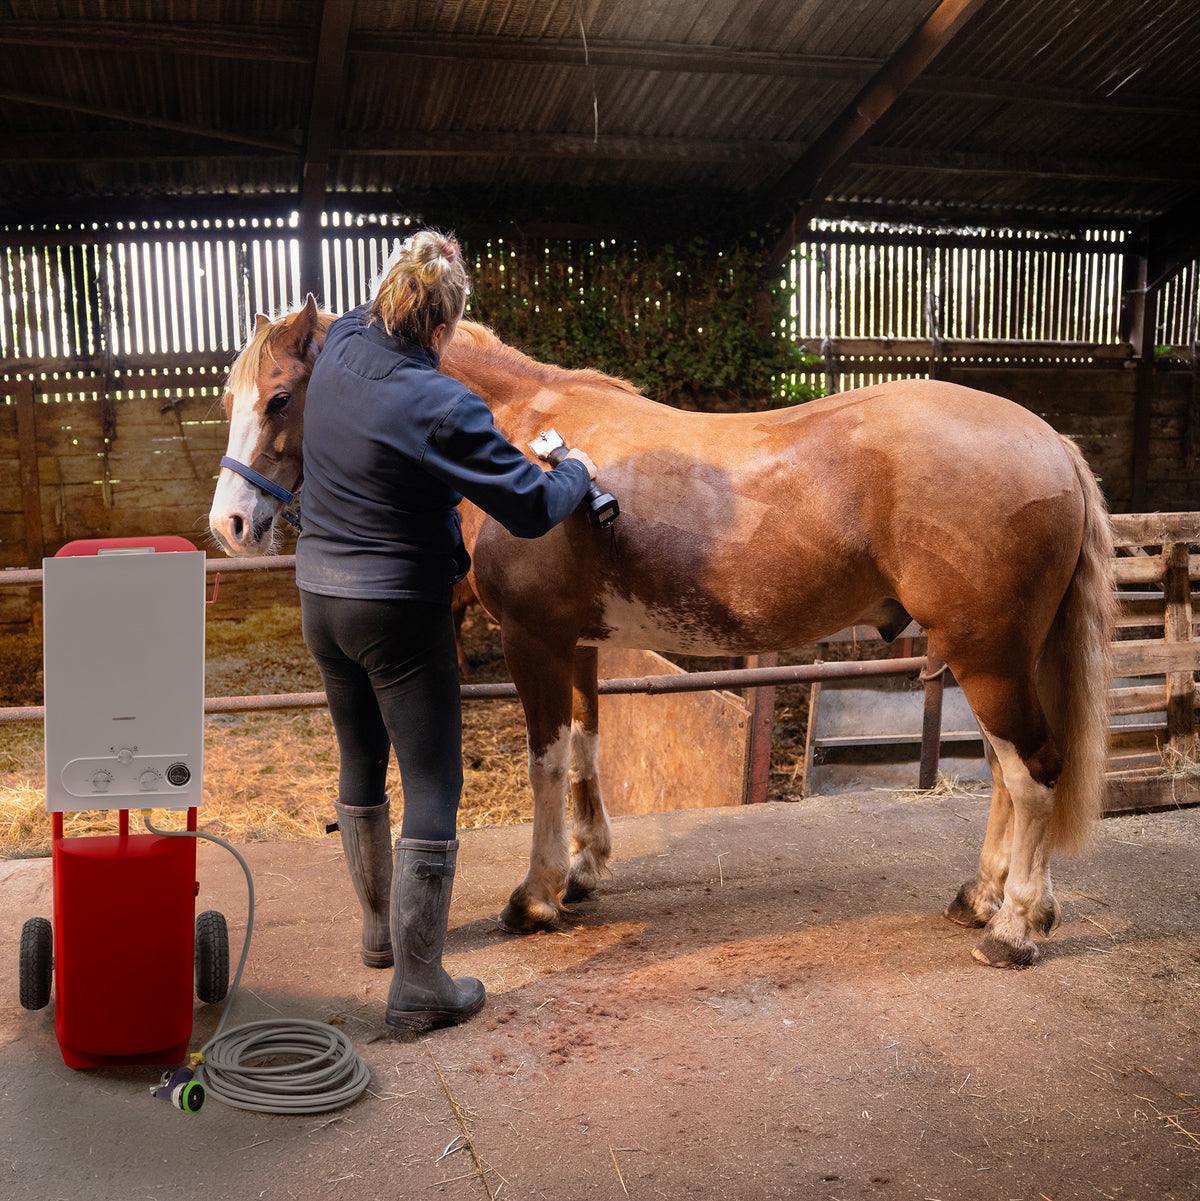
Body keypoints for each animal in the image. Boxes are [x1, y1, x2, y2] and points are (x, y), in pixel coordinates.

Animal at [209, 295, 1115, 969]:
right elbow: (584, 749)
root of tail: (1051, 443)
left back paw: (1015, 927)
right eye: (230, 400)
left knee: (1033, 770)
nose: (230, 524)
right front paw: (581, 871)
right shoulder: (576, 643)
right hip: (988, 655)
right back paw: (980, 899)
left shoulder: (533, 641)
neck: (516, 430)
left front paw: (534, 895)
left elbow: (545, 761)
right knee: (1004, 772)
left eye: (280, 397)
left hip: (987, 655)